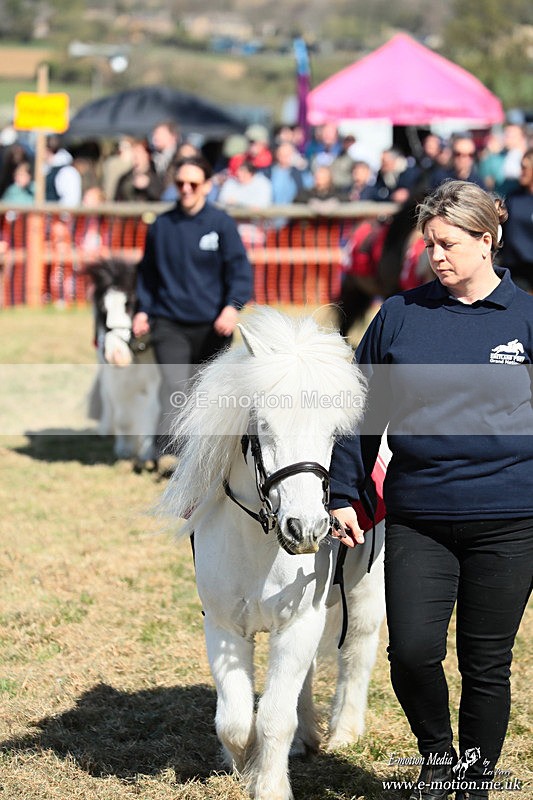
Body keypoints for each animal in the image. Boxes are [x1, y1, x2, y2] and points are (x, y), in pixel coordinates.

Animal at [85, 258, 161, 471]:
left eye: (132, 303)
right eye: (102, 307)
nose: (116, 355)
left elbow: (152, 412)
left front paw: (146, 453)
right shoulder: (116, 379)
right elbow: (122, 417)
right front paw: (125, 450)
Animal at [163, 307, 386, 800]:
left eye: (333, 432)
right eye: (263, 424)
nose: (307, 529)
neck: (258, 544)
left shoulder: (300, 622)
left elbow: (273, 720)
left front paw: (268, 785)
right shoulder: (224, 625)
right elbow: (235, 720)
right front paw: (239, 764)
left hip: (367, 589)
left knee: (357, 650)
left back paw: (344, 731)